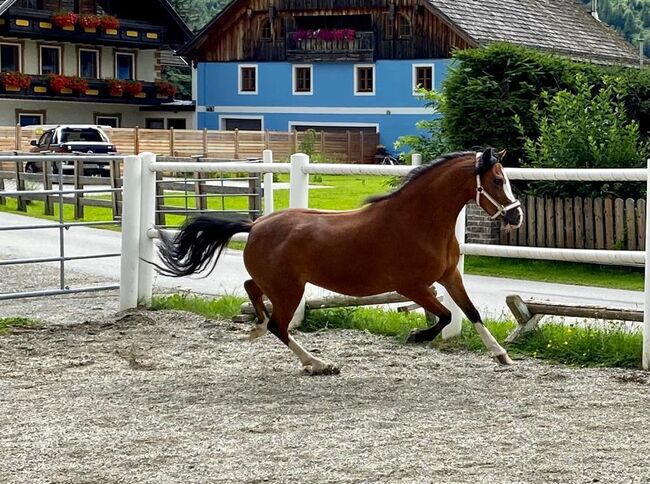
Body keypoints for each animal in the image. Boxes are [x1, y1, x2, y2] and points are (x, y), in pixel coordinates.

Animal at [156, 149, 520, 376]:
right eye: (497, 181)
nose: (516, 216)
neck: (417, 221)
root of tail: (255, 225)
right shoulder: (411, 286)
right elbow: (444, 316)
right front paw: (417, 335)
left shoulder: (449, 276)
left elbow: (470, 312)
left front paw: (501, 355)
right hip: (289, 291)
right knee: (279, 326)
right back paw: (317, 363)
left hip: (279, 285)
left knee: (252, 289)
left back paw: (258, 327)